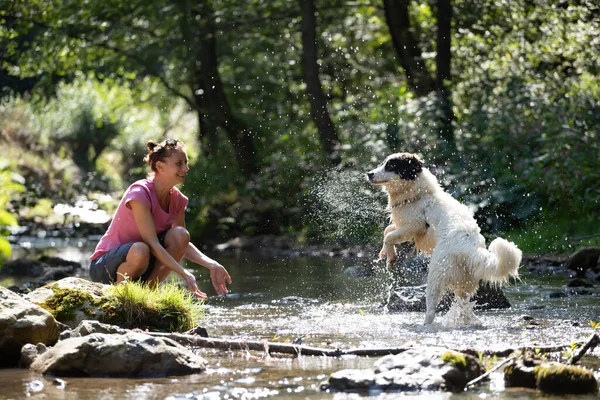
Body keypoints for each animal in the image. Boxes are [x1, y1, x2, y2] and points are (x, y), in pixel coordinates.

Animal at [366, 152, 520, 324]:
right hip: (464, 284)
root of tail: (471, 248)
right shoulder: (405, 226)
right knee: (464, 306)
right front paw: (385, 253)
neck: (420, 194)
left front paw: (391, 257)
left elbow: (389, 236)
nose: (369, 174)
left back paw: (425, 324)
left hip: (435, 277)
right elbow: (387, 230)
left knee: (431, 311)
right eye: (383, 163)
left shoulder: (415, 226)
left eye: (391, 166)